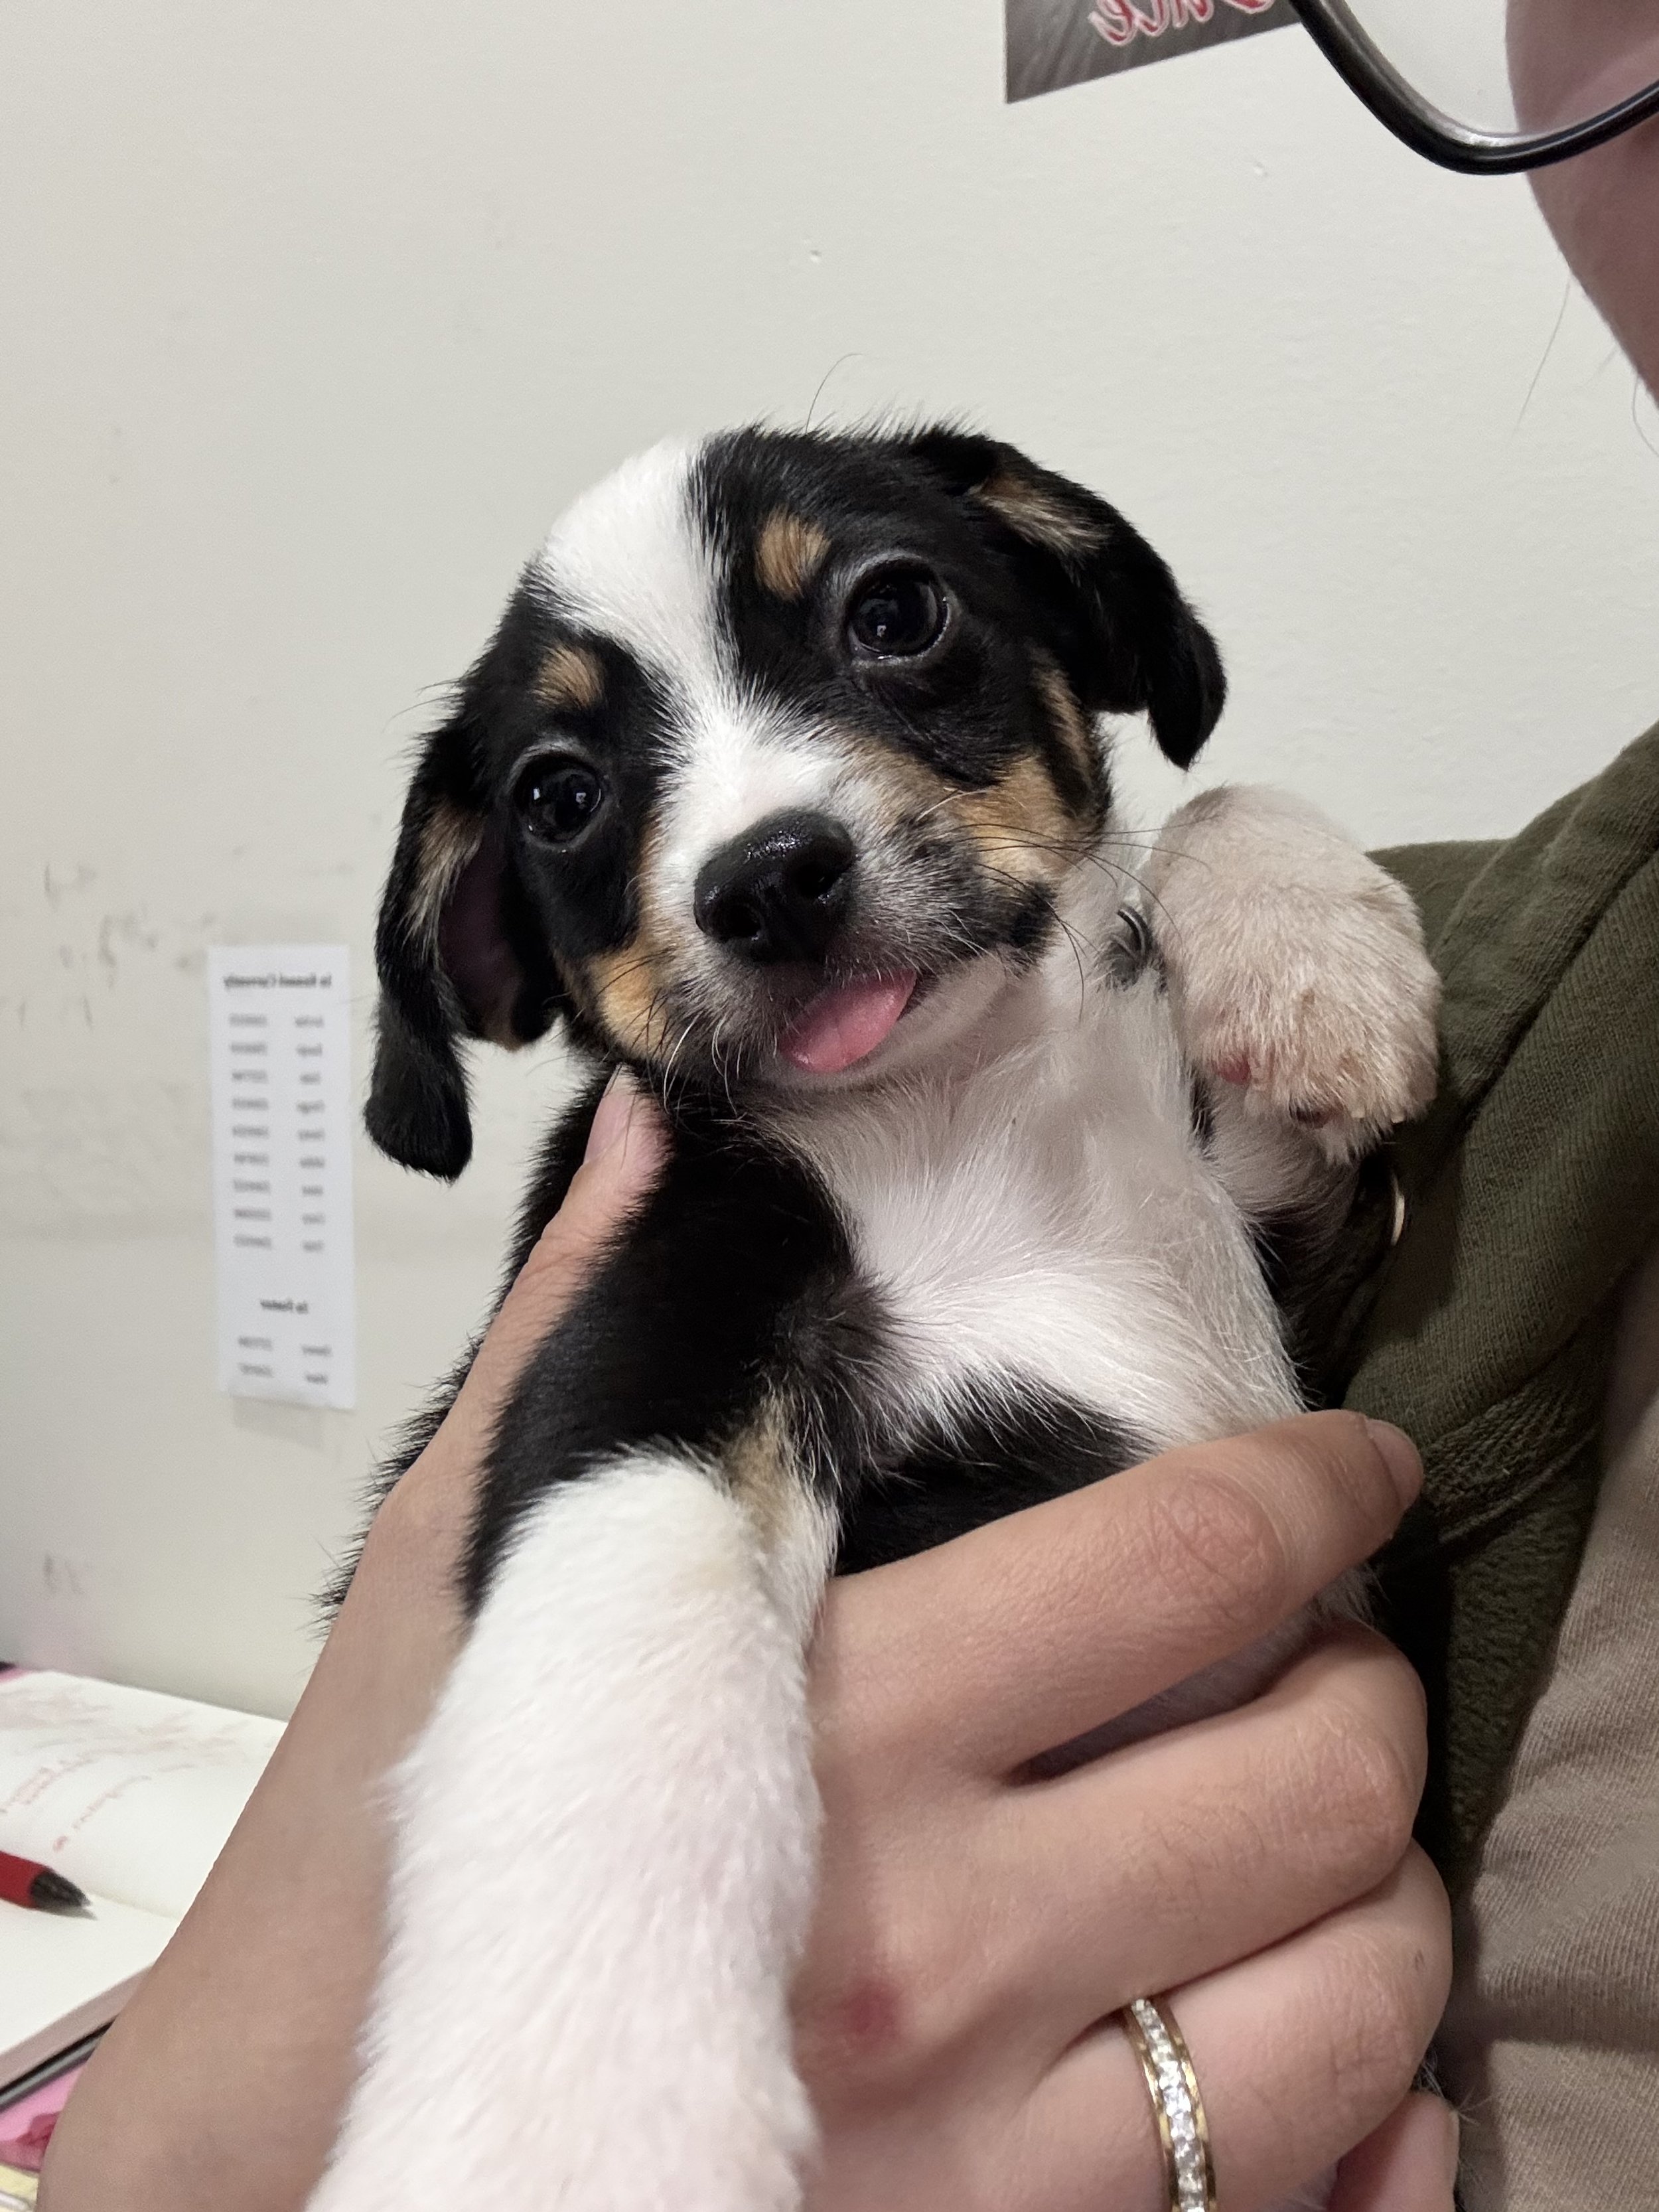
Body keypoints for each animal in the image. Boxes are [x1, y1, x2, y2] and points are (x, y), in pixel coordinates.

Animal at [310, 425, 1441, 2210]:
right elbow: (617, 1658)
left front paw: (1311, 962)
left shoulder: (1271, 1232)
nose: (767, 881)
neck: (962, 1104)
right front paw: (572, 2114)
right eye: (561, 794)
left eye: (893, 611)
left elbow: (1211, 811)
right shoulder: (654, 1324)